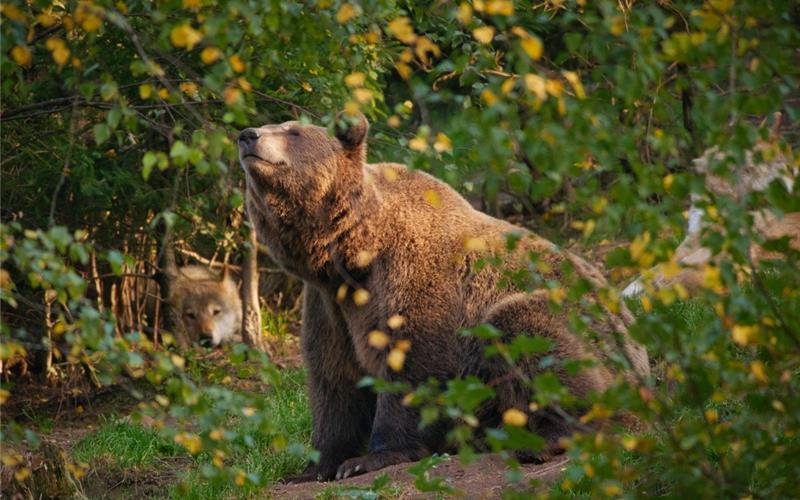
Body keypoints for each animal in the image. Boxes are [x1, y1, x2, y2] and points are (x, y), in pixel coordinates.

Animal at [238, 112, 648, 480]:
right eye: (275, 124)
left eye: (292, 131)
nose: (247, 135)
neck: (354, 254)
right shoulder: (330, 305)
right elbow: (334, 380)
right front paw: (316, 465)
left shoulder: (414, 280)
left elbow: (414, 364)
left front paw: (372, 457)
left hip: (579, 324)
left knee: (527, 335)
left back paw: (544, 438)